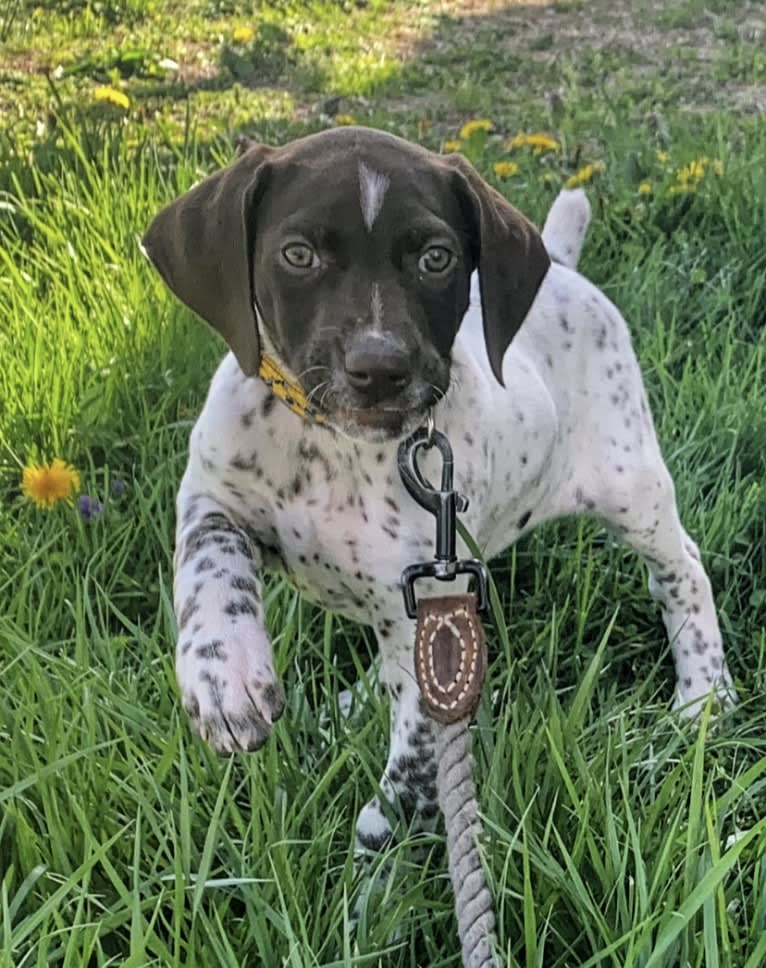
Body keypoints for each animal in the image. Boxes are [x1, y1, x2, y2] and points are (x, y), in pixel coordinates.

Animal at [142, 125, 736, 852]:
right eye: (298, 254)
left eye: (435, 258)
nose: (379, 368)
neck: (337, 446)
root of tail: (562, 269)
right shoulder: (212, 491)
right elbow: (209, 562)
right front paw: (223, 672)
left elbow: (399, 796)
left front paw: (367, 878)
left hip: (632, 486)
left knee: (683, 569)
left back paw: (704, 693)